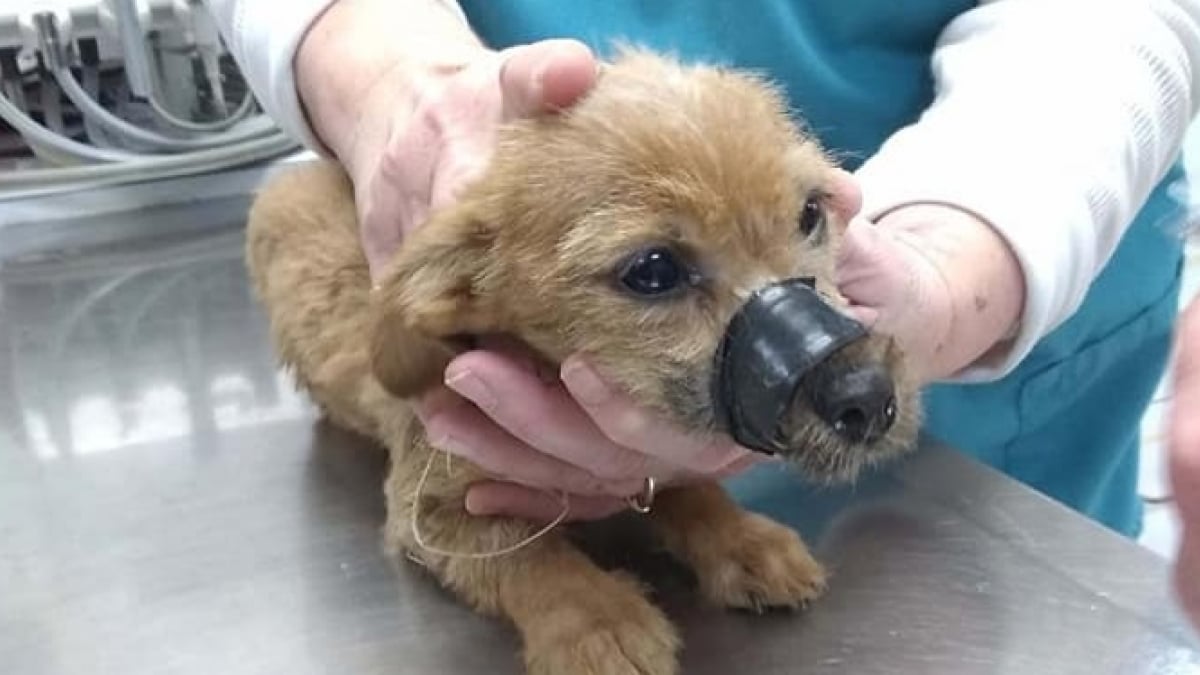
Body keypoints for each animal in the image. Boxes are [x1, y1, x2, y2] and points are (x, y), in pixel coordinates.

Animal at [246, 51, 916, 672]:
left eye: (810, 213)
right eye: (653, 271)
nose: (868, 397)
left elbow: (689, 488)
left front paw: (742, 539)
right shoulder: (426, 509)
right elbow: (528, 555)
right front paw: (598, 621)